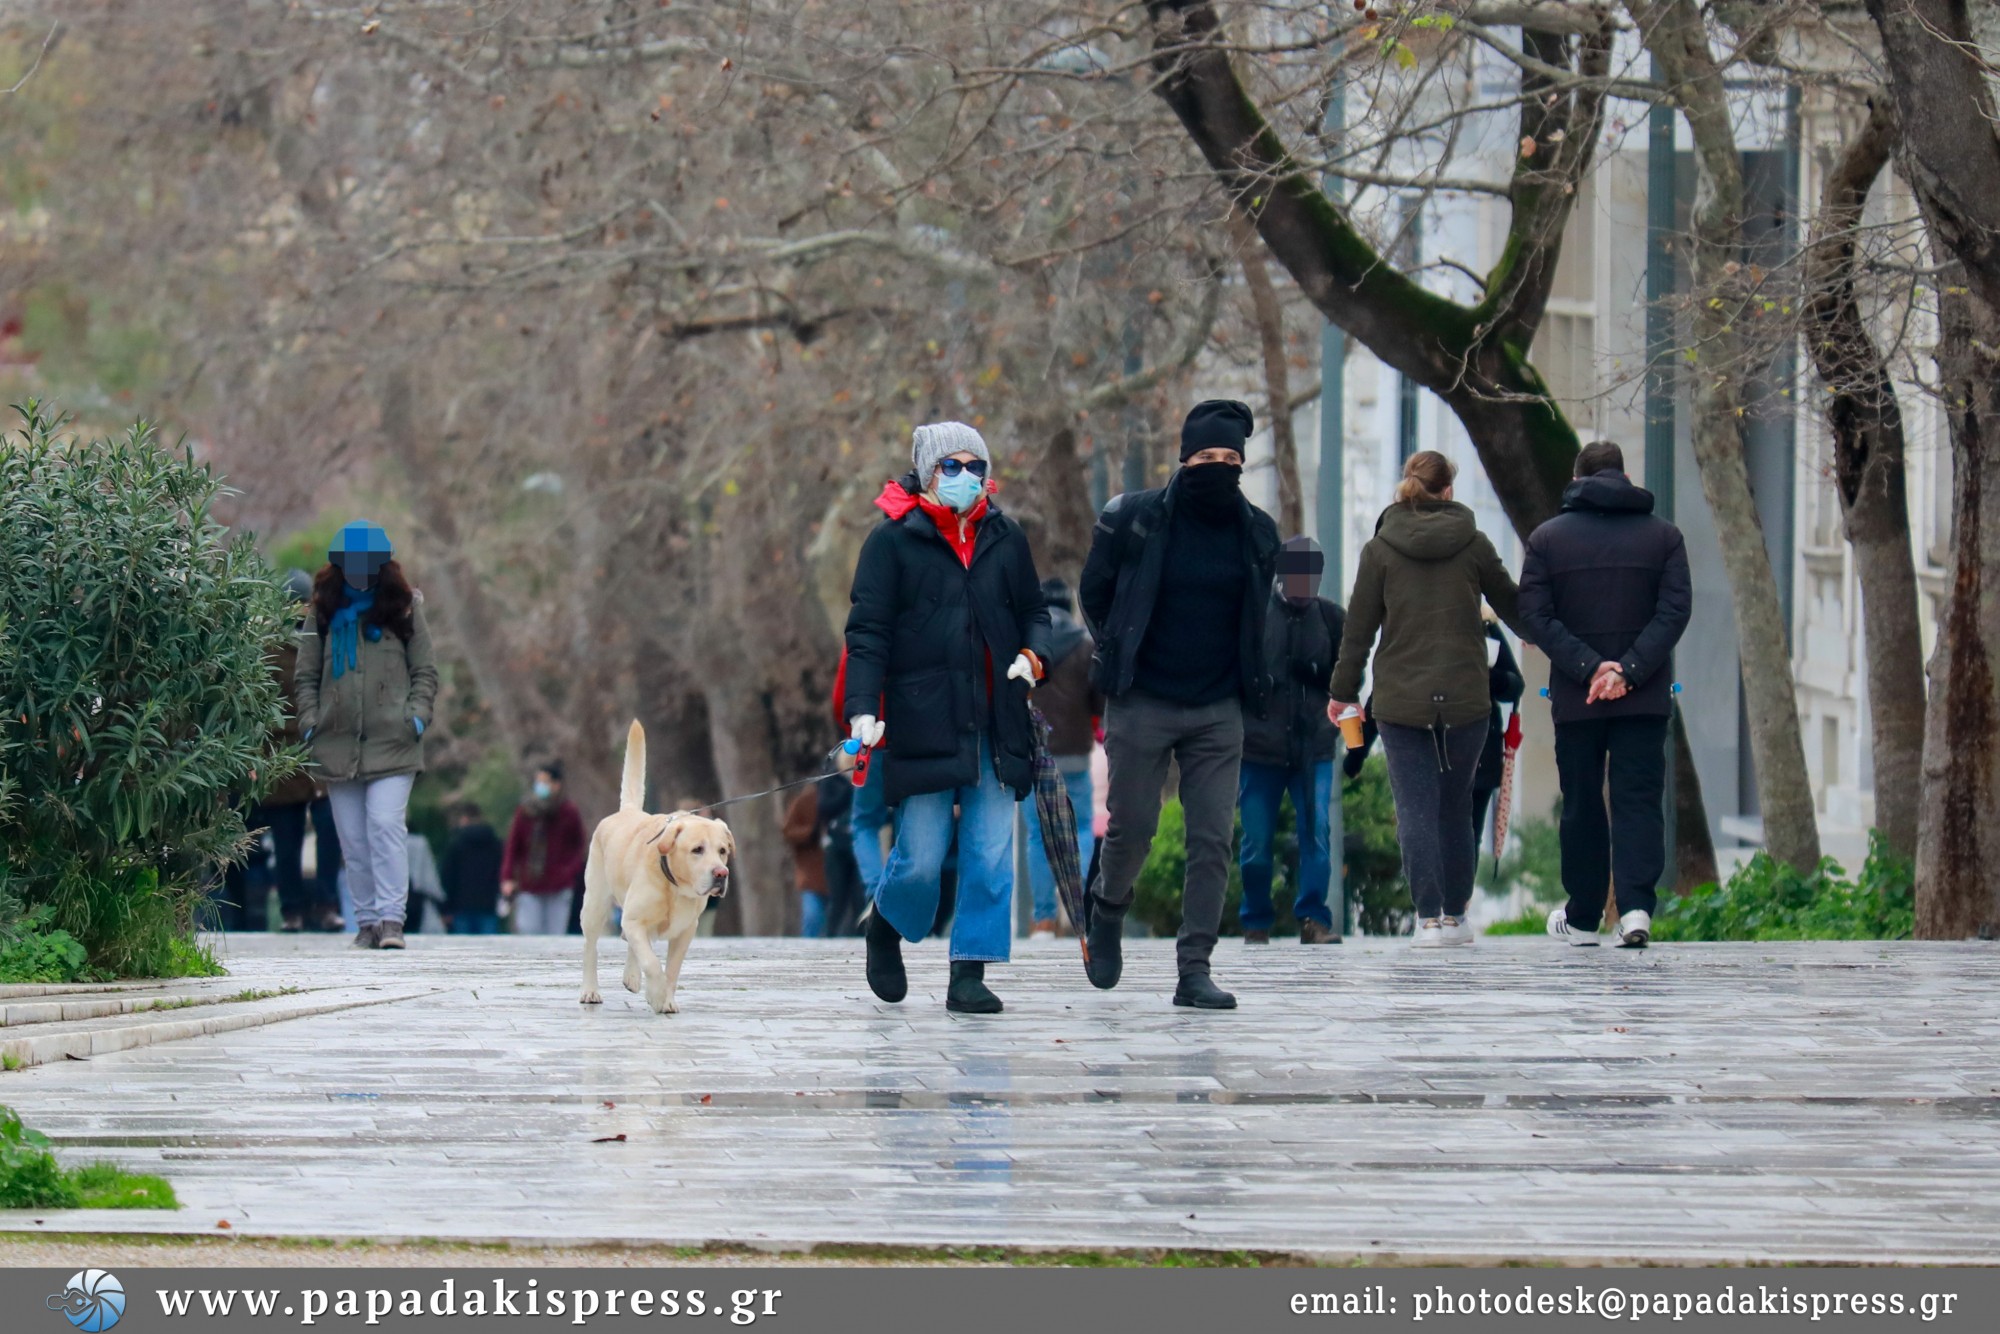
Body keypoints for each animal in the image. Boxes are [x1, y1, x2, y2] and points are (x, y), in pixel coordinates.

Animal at [580, 724, 736, 1016]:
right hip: (595, 904)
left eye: (722, 851)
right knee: (591, 947)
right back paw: (590, 990)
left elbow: (671, 969)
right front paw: (656, 995)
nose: (721, 874)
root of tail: (627, 811)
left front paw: (666, 999)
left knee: (628, 940)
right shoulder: (634, 920)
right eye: (697, 849)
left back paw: (631, 977)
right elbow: (652, 963)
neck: (674, 887)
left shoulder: (686, 930)